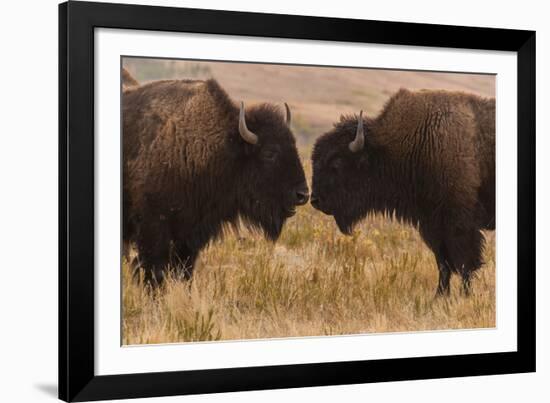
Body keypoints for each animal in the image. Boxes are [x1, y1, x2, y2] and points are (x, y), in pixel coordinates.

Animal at [123, 77, 310, 282]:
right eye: (269, 153)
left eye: (294, 145)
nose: (303, 194)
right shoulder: (154, 228)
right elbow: (153, 269)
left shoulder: (190, 236)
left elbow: (184, 270)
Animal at [312, 89, 498, 296]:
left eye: (336, 165)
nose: (315, 200)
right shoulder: (432, 225)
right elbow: (443, 264)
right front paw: (439, 296)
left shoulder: (460, 224)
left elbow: (465, 263)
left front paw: (465, 295)